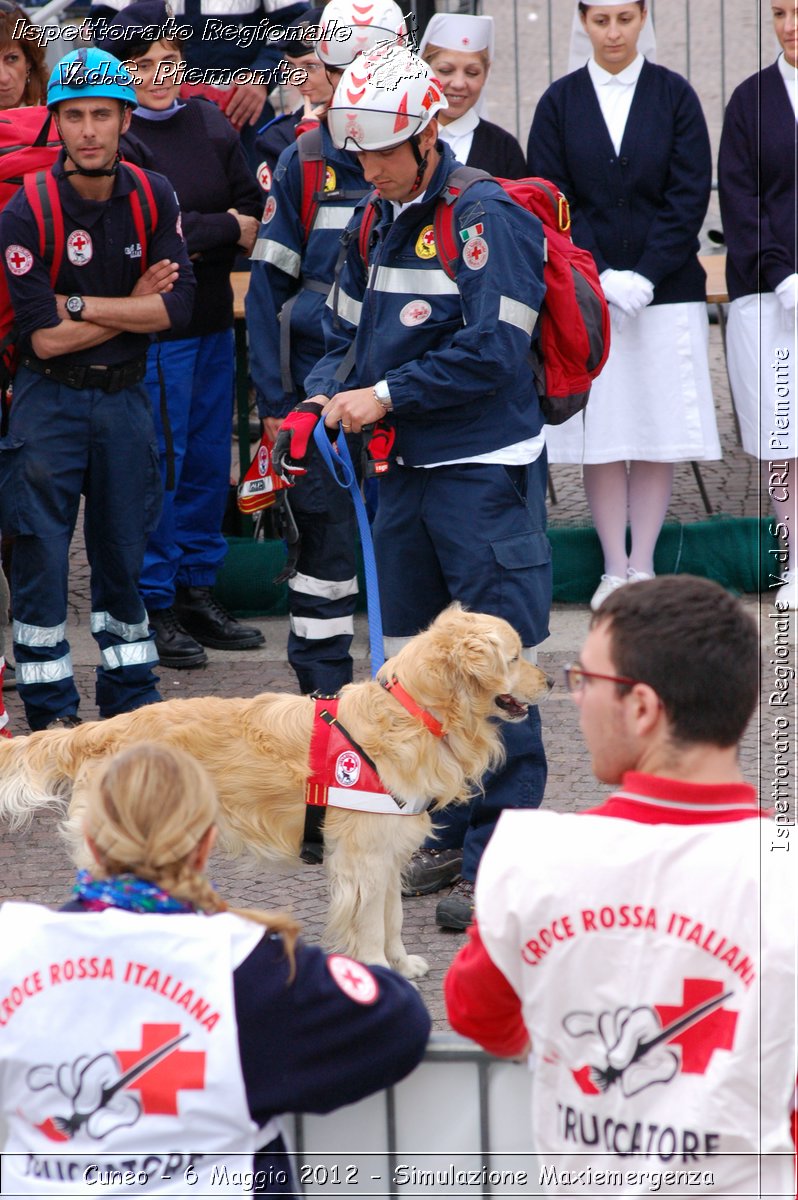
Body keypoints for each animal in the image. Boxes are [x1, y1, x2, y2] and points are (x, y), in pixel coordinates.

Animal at [0, 609, 547, 974]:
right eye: (514, 656)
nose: (548, 680)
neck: (414, 714)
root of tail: (99, 730)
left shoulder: (389, 852)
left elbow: (392, 918)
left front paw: (401, 963)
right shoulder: (363, 858)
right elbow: (371, 924)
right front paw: (377, 969)